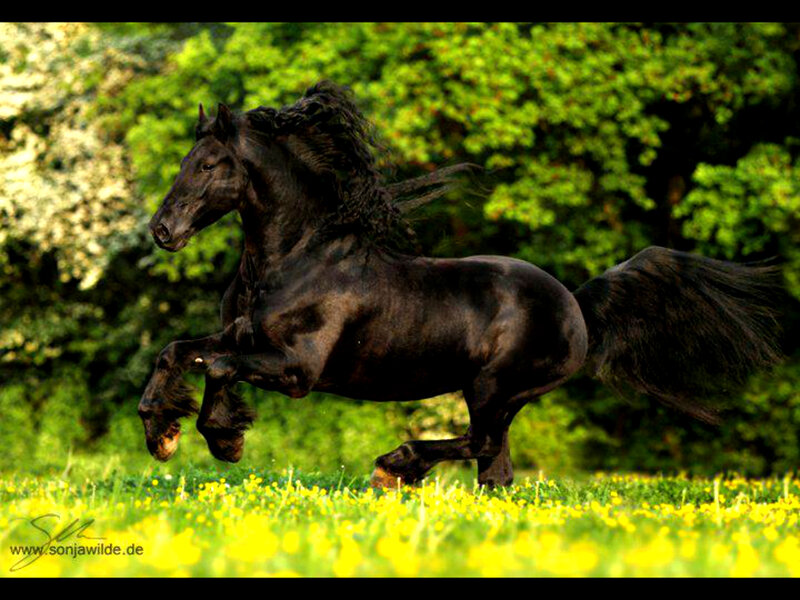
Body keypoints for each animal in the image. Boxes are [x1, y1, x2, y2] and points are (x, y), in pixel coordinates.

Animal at [138, 81, 783, 487]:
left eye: (209, 165)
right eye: (184, 162)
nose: (162, 231)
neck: (295, 258)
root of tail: (576, 304)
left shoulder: (299, 369)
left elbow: (219, 368)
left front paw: (223, 440)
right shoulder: (243, 338)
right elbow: (179, 352)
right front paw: (161, 434)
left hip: (494, 388)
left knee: (481, 446)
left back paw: (393, 467)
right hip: (503, 397)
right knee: (496, 470)